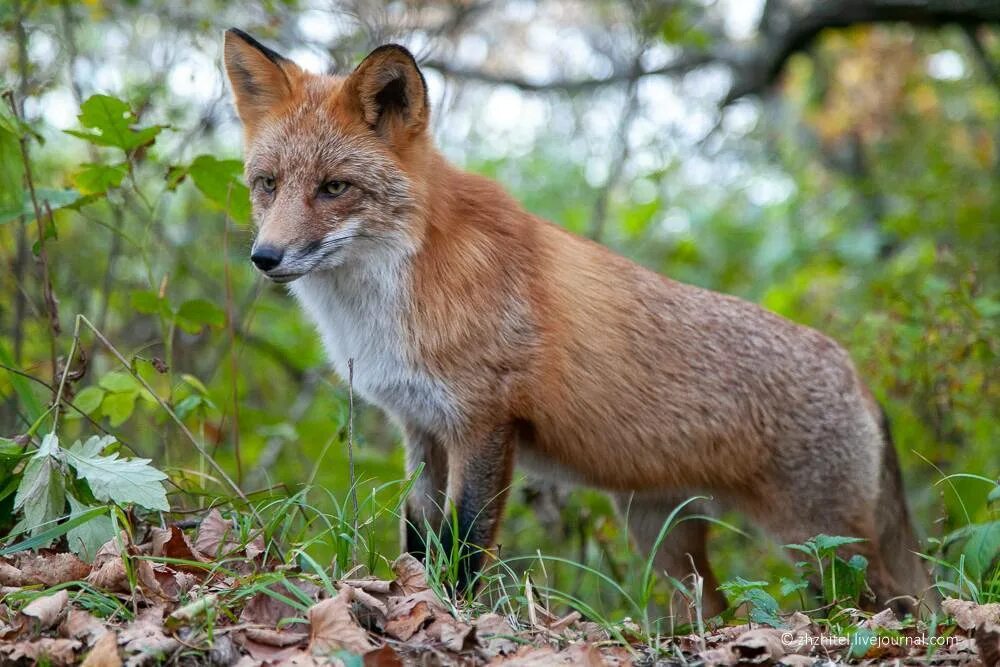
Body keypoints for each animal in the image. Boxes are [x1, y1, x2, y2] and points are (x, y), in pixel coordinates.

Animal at [221, 28, 928, 620]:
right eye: (267, 184)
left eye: (334, 188)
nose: (265, 258)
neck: (397, 298)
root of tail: (857, 375)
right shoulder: (420, 428)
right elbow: (419, 540)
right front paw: (413, 600)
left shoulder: (484, 424)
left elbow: (465, 546)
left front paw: (456, 616)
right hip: (664, 538)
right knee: (713, 609)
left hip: (823, 548)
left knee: (898, 607)